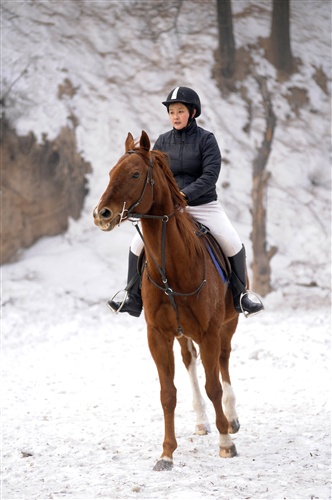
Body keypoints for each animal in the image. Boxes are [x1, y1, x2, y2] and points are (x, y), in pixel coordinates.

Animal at [93, 131, 241, 470]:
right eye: (111, 172)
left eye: (135, 174)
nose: (101, 214)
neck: (173, 266)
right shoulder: (158, 335)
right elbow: (167, 393)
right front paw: (166, 452)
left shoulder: (210, 332)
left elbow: (214, 386)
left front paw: (226, 442)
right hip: (183, 334)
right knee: (190, 362)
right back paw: (201, 422)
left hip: (227, 326)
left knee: (224, 362)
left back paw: (231, 419)